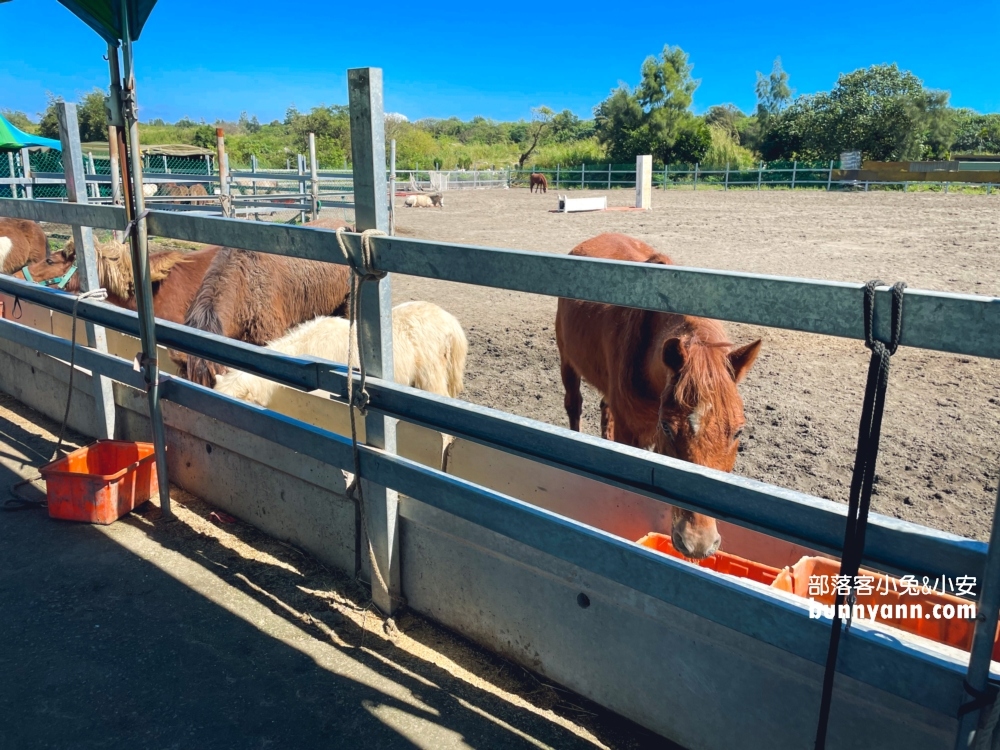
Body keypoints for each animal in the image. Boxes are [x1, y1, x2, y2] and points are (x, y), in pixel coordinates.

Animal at [560, 232, 760, 560]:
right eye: (667, 427)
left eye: (738, 432)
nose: (698, 544)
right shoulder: (632, 432)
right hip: (567, 361)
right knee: (574, 406)